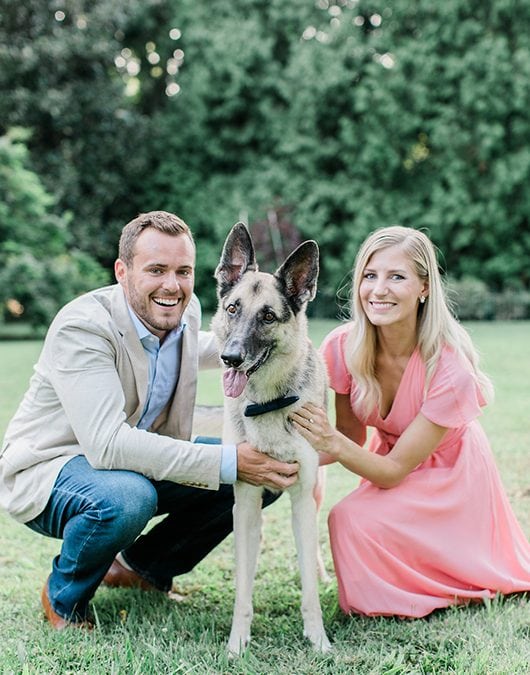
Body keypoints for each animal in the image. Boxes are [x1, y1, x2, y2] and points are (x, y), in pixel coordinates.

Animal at [208, 222, 328, 656]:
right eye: (232, 309)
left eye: (269, 317)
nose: (229, 358)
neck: (267, 403)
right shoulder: (244, 501)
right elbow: (243, 590)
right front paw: (237, 644)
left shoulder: (302, 498)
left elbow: (308, 588)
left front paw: (318, 639)